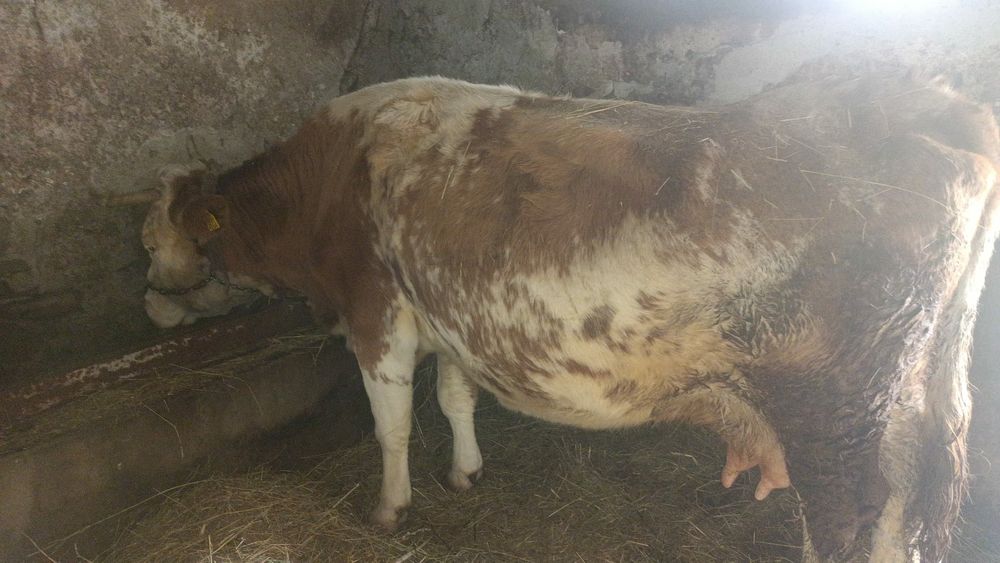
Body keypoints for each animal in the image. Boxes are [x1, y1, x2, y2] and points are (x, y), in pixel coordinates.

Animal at [137, 70, 1000, 562]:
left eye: (150, 239)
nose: (146, 299)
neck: (329, 176)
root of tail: (923, 104)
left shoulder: (375, 307)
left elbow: (389, 421)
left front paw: (389, 508)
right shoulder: (453, 311)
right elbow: (454, 396)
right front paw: (465, 470)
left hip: (837, 414)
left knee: (850, 519)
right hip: (911, 402)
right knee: (908, 506)